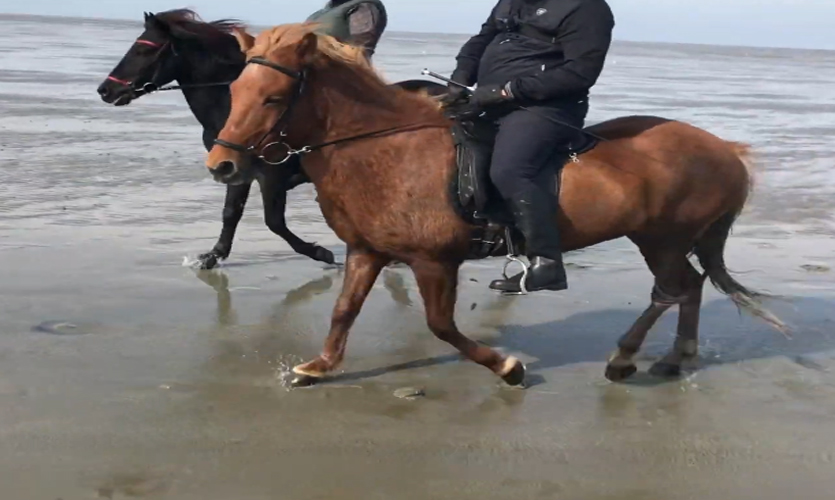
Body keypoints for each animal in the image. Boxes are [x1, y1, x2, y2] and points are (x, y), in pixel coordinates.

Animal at [98, 8, 448, 270]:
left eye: (143, 48)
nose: (106, 90)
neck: (231, 108)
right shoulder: (235, 169)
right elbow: (231, 213)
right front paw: (212, 257)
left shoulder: (271, 175)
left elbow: (273, 221)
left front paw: (320, 252)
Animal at [204, 23, 784, 386]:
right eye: (236, 89)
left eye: (274, 97)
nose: (222, 166)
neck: (387, 149)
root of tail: (725, 150)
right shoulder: (366, 251)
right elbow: (344, 310)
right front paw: (320, 367)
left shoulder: (433, 261)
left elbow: (441, 326)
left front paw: (508, 368)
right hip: (664, 239)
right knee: (690, 287)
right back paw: (674, 358)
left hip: (661, 238)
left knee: (673, 288)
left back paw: (624, 358)